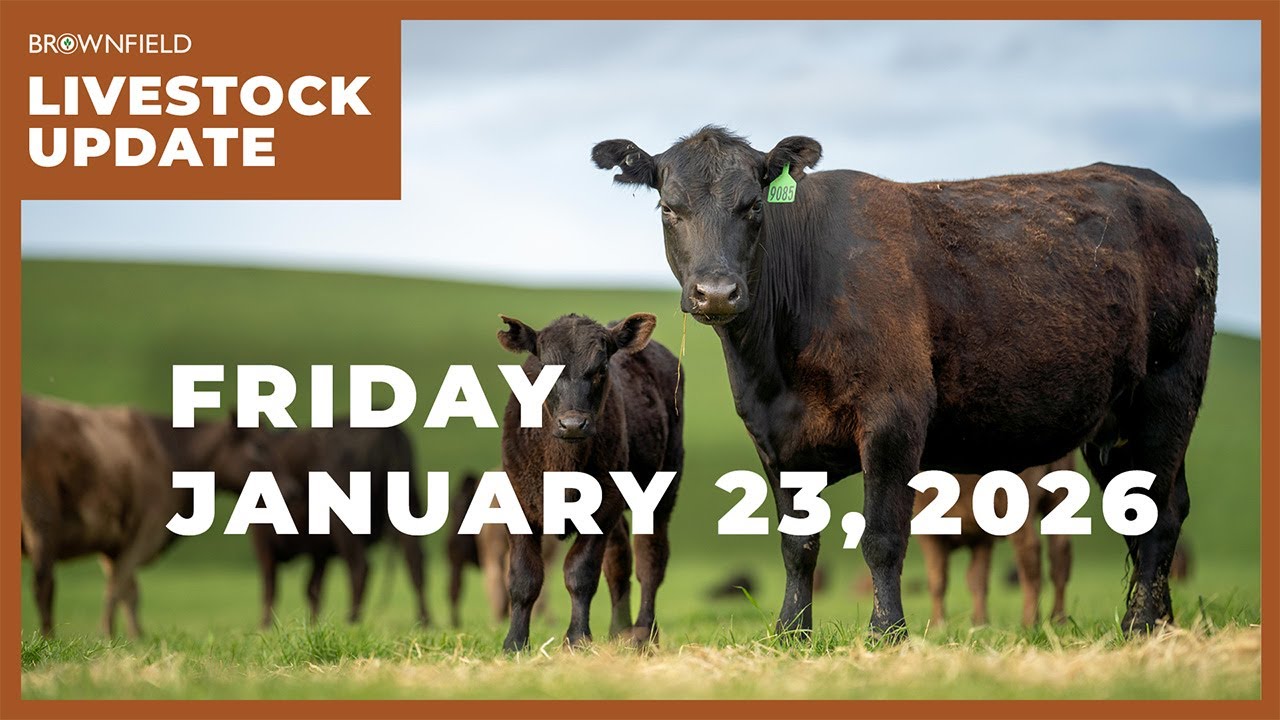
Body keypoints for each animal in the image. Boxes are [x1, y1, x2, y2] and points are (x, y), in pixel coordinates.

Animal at [20, 394, 286, 638]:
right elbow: (119, 587)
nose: (291, 487)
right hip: (41, 517)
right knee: (44, 582)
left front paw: (135, 637)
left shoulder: (112, 543)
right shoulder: (144, 529)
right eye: (259, 447)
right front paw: (109, 635)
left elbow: (128, 590)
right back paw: (48, 639)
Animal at [254, 420, 429, 629]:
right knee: (415, 562)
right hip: (409, 508)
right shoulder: (319, 550)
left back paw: (352, 620)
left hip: (344, 524)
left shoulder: (264, 541)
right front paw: (312, 624)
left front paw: (266, 626)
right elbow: (312, 588)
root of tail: (388, 432)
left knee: (360, 567)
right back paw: (424, 620)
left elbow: (271, 586)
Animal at [496, 313, 684, 651]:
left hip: (663, 488)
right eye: (544, 368)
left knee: (650, 558)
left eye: (601, 369)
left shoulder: (603, 509)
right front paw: (515, 643)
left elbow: (580, 573)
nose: (573, 424)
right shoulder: (517, 503)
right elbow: (523, 577)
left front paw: (576, 639)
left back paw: (643, 634)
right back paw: (619, 631)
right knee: (619, 561)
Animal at [915, 454, 1075, 628]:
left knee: (1030, 552)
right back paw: (1059, 620)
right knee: (1060, 556)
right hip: (1058, 500)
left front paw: (937, 626)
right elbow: (978, 579)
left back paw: (1029, 622)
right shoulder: (981, 538)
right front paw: (980, 624)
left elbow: (937, 580)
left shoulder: (929, 532)